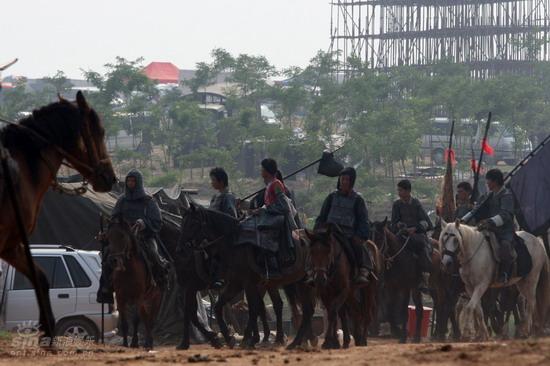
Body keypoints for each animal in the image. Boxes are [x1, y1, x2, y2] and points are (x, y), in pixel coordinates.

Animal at [105, 214, 162, 348]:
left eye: (122, 236)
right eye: (109, 236)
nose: (113, 260)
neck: (129, 271)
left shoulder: (138, 297)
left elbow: (136, 319)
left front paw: (136, 342)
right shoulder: (120, 296)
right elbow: (125, 323)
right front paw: (125, 343)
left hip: (156, 298)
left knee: (151, 319)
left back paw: (149, 342)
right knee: (146, 318)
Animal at [177, 203, 314, 348]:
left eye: (193, 222)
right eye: (182, 222)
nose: (181, 249)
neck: (232, 243)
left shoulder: (247, 283)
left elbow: (253, 308)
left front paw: (246, 339)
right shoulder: (235, 284)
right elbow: (217, 307)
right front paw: (228, 338)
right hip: (297, 283)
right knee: (302, 309)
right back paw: (293, 341)